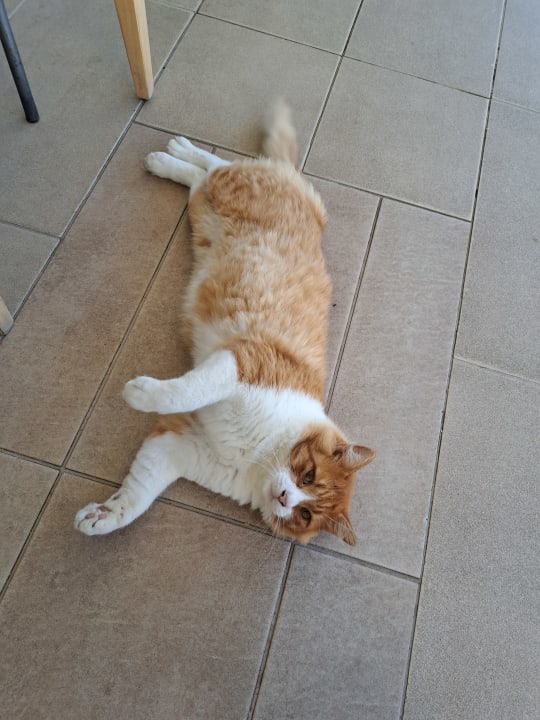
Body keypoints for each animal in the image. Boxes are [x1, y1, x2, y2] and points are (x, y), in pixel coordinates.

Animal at [74, 100, 374, 545]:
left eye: (305, 514)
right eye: (308, 474)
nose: (285, 498)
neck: (260, 454)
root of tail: (300, 185)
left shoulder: (178, 445)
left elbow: (136, 495)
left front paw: (102, 518)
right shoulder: (239, 363)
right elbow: (182, 390)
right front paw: (139, 393)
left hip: (201, 214)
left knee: (199, 177)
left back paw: (170, 156)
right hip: (225, 190)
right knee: (219, 164)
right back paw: (170, 152)